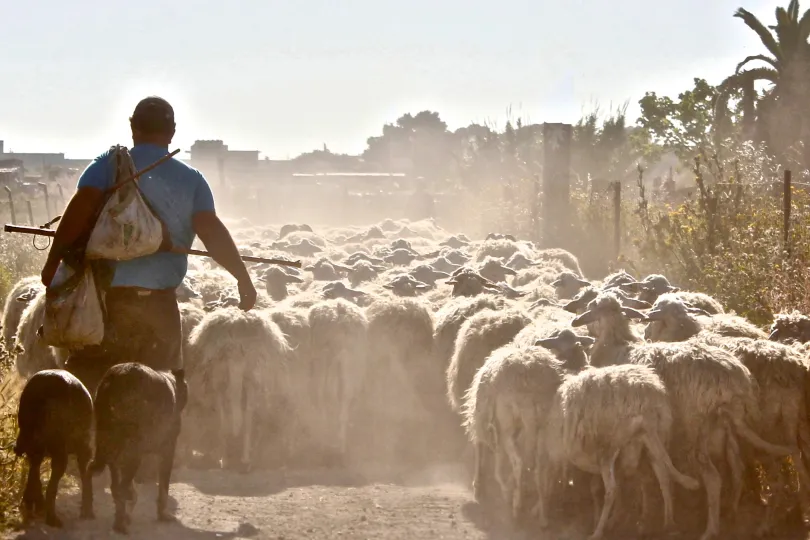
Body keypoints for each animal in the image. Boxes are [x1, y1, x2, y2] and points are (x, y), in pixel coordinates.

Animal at [14, 370, 94, 524]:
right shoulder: (85, 447)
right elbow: (85, 472)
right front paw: (87, 513)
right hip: (59, 445)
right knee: (53, 479)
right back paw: (53, 520)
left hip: (28, 434)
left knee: (34, 467)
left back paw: (33, 508)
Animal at [90, 360, 188, 532]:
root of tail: (115, 377)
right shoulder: (168, 449)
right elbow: (164, 487)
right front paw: (163, 515)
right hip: (133, 453)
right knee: (121, 488)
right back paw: (122, 523)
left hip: (111, 449)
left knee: (115, 487)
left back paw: (120, 520)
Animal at [187, 308, 294, 472]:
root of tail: (235, 345)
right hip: (249, 376)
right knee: (244, 414)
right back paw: (240, 459)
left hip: (223, 378)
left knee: (230, 415)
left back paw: (230, 458)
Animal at [304, 298, 368, 462]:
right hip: (348, 363)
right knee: (342, 397)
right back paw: (339, 446)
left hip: (325, 359)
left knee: (325, 396)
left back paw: (327, 442)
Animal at [540, 364, 696, 536]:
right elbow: (599, 486)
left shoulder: (554, 455)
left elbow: (548, 482)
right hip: (651, 438)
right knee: (663, 476)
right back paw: (668, 523)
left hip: (610, 447)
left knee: (612, 489)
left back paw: (598, 531)